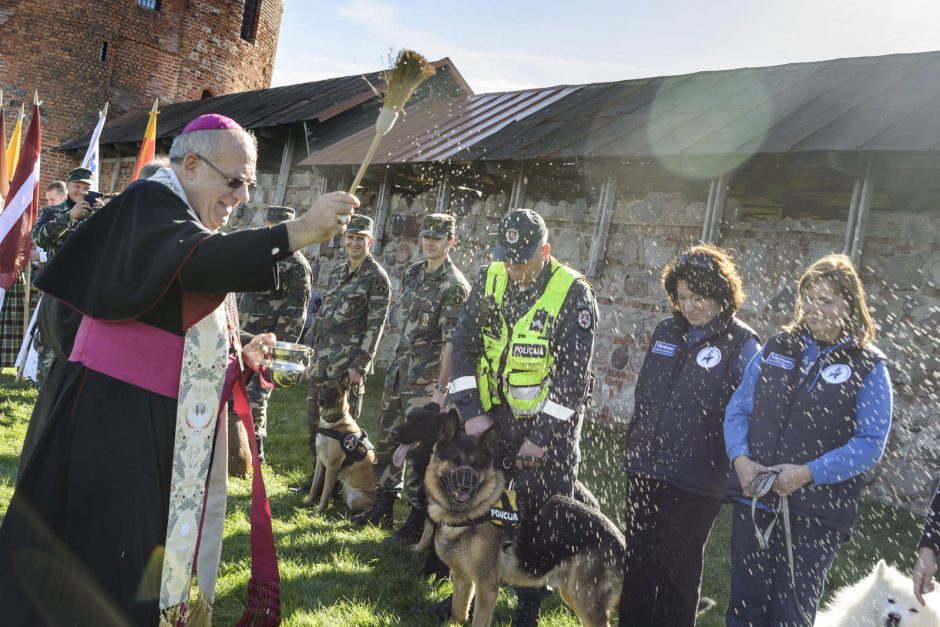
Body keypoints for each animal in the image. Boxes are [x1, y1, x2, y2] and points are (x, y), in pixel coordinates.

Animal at [302, 372, 374, 516]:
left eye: (334, 391)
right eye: (323, 387)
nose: (321, 400)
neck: (333, 421)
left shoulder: (332, 467)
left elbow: (325, 492)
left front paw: (318, 510)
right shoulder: (320, 462)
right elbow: (314, 485)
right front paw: (309, 501)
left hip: (357, 498)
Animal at [426, 412, 624, 627]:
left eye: (477, 465)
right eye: (455, 460)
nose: (467, 485)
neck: (474, 512)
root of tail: (621, 539)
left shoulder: (486, 587)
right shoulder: (462, 579)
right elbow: (457, 614)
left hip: (583, 598)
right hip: (572, 593)